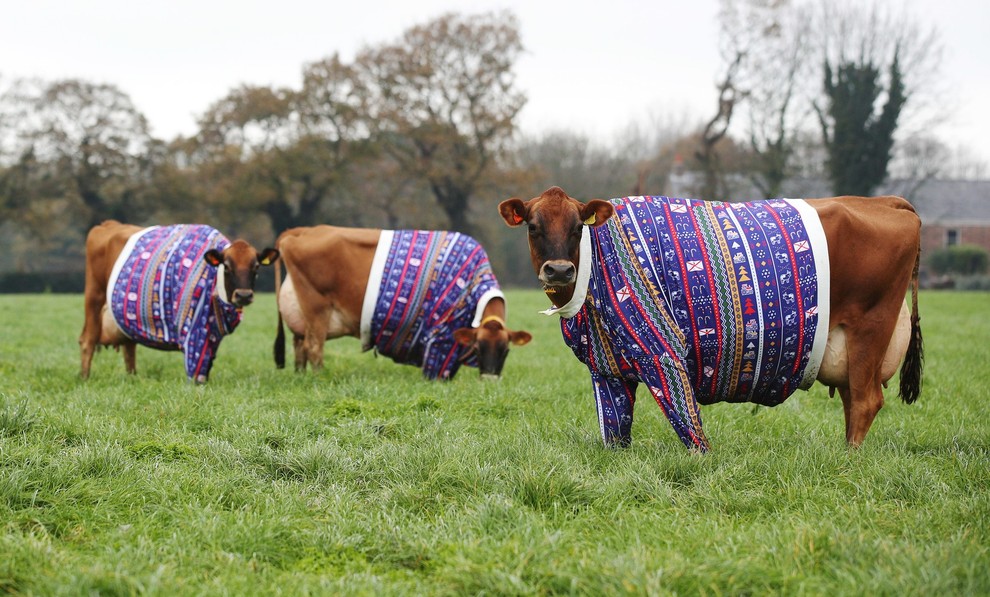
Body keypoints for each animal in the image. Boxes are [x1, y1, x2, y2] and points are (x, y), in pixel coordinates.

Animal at [78, 219, 278, 382]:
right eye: (227, 266)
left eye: (256, 266)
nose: (244, 295)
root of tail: (108, 224)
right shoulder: (193, 327)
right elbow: (195, 366)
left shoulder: (213, 332)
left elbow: (208, 361)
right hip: (94, 295)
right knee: (88, 339)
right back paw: (85, 378)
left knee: (129, 347)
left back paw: (132, 378)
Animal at [272, 226, 536, 380]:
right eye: (479, 348)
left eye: (505, 350)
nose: (490, 380)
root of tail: (299, 231)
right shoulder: (439, 336)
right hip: (317, 308)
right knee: (314, 348)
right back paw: (319, 378)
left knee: (299, 347)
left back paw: (301, 376)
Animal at [500, 186, 928, 452]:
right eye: (533, 227)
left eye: (578, 227)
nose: (559, 270)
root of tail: (887, 202)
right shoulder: (606, 369)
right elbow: (615, 433)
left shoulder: (663, 350)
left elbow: (688, 423)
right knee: (853, 398)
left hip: (870, 328)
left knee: (866, 401)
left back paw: (848, 460)